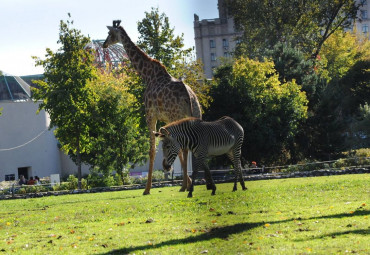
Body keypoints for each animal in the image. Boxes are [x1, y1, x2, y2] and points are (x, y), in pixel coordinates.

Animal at [102, 19, 202, 195]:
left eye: (110, 33)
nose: (104, 44)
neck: (147, 75)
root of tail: (189, 97)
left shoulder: (150, 115)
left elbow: (152, 150)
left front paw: (147, 189)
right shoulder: (164, 118)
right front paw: (184, 183)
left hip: (176, 115)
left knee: (184, 146)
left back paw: (186, 185)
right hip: (197, 113)